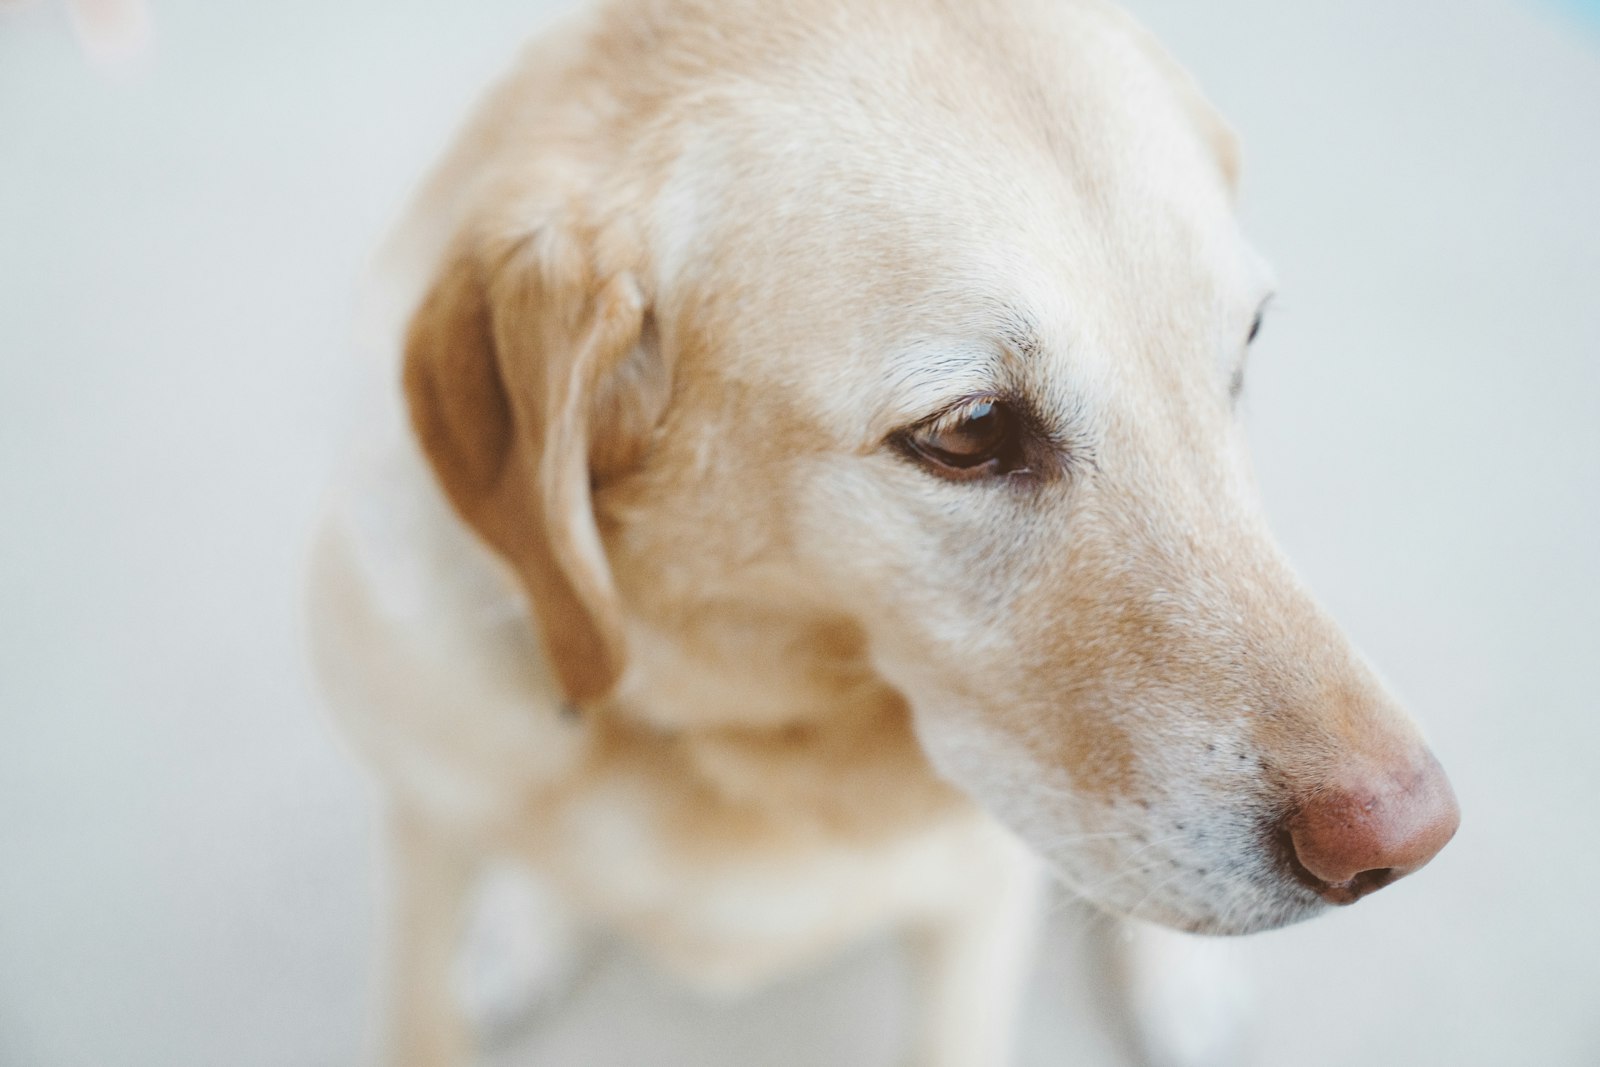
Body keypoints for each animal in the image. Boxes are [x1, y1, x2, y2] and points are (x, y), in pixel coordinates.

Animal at [302, 0, 1465, 1062]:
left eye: (1247, 341)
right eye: (970, 429)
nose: (1409, 841)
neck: (741, 725)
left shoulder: (976, 920)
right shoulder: (423, 839)